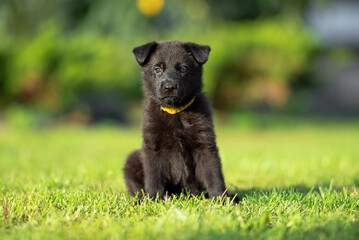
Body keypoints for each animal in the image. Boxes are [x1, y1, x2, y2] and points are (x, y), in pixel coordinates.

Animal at [125, 40, 235, 201]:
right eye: (157, 69)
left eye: (183, 69)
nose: (169, 87)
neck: (176, 112)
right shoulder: (153, 146)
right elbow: (154, 177)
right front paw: (154, 199)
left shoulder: (205, 145)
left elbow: (214, 175)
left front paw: (220, 199)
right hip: (132, 160)